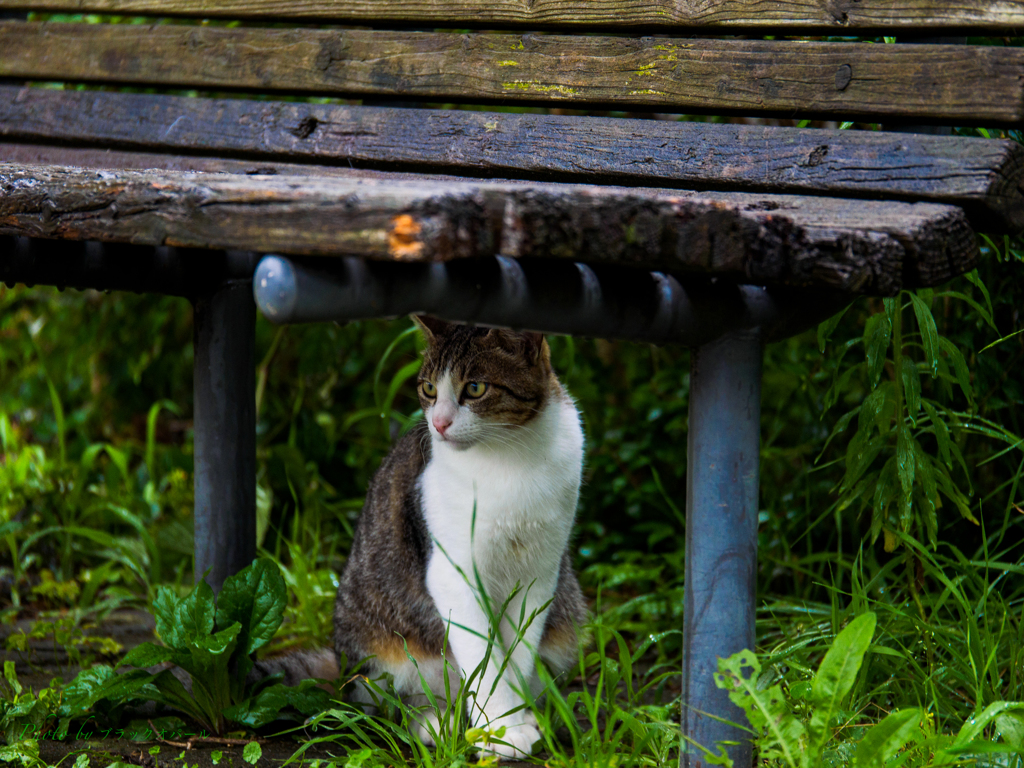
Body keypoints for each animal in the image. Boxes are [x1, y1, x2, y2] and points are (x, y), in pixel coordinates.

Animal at [329, 315, 593, 761]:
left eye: (475, 388)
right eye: (429, 388)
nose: (438, 423)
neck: (511, 456)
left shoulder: (539, 574)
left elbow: (515, 655)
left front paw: (512, 720)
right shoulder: (453, 574)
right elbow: (482, 656)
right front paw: (500, 730)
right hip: (378, 649)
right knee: (393, 703)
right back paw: (438, 723)